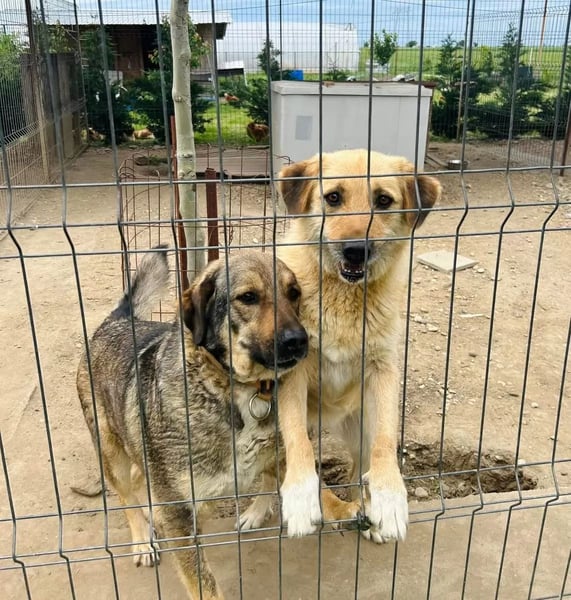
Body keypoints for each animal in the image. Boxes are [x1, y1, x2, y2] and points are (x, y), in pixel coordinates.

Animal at [76, 248, 308, 599]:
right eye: (248, 297)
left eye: (293, 293)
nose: (299, 340)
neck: (233, 389)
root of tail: (117, 321)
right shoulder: (178, 511)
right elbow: (202, 583)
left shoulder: (276, 453)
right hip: (110, 451)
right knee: (126, 495)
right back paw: (143, 539)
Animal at [275, 149, 441, 543]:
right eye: (333, 197)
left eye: (383, 200)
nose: (355, 251)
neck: (343, 297)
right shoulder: (292, 370)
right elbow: (297, 438)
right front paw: (301, 496)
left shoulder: (383, 369)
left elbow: (386, 441)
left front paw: (389, 496)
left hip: (359, 425)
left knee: (356, 468)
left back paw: (363, 509)